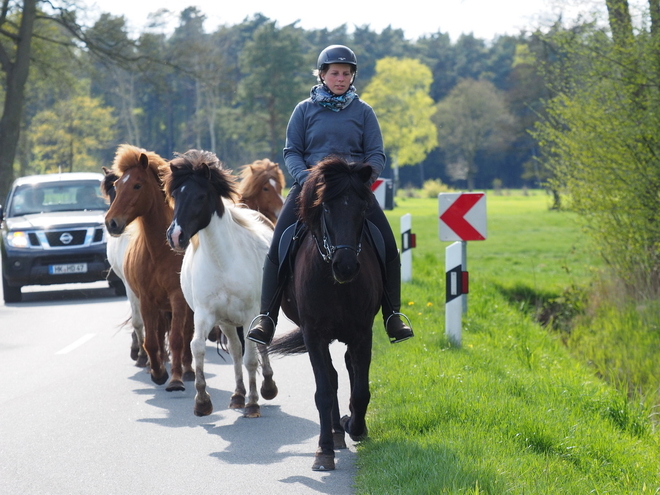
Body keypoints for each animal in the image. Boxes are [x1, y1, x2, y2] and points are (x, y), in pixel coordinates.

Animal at [104, 143, 193, 392]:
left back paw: (188, 370)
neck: (159, 252)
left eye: (137, 185)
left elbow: (177, 338)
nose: (111, 223)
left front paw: (175, 379)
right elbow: (152, 340)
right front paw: (157, 372)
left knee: (187, 334)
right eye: (116, 186)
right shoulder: (145, 299)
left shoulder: (177, 297)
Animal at [166, 148, 280, 418]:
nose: (175, 236)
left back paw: (266, 388)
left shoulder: (250, 315)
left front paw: (253, 404)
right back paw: (238, 395)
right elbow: (197, 346)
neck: (223, 261)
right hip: (226, 322)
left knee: (257, 348)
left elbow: (252, 357)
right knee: (236, 350)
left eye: (200, 196)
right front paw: (202, 402)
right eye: (175, 195)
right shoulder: (206, 314)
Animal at [268, 157, 382, 470]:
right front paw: (324, 450)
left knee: (348, 369)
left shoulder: (362, 332)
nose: (346, 266)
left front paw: (355, 426)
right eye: (327, 208)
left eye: (362, 208)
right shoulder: (314, 335)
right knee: (331, 377)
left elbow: (361, 390)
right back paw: (335, 433)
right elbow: (324, 391)